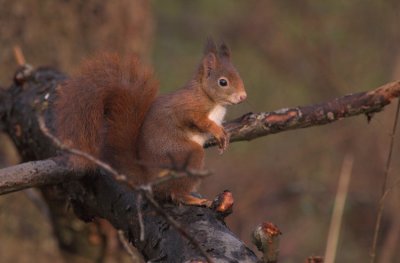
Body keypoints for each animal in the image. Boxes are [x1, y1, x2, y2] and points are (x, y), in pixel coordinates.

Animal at [54, 39, 245, 206]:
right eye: (223, 82)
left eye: (239, 76)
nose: (243, 97)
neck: (209, 98)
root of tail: (148, 179)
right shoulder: (189, 107)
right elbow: (196, 119)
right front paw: (217, 131)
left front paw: (224, 137)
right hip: (185, 156)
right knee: (175, 192)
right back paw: (191, 199)